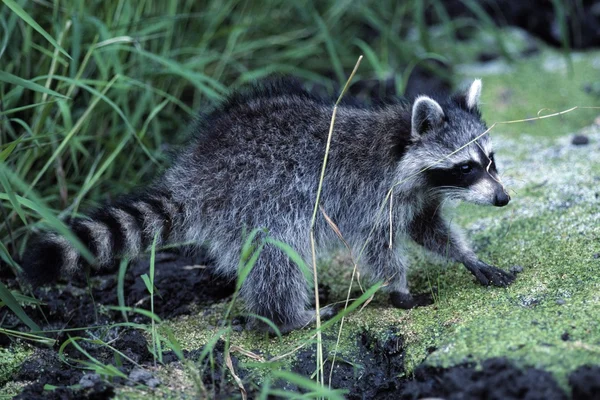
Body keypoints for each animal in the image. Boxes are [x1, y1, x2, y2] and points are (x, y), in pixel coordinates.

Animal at [21, 77, 512, 332]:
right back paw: (289, 315)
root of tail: (194, 174)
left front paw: (468, 257)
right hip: (259, 198)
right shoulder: (370, 196)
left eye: (490, 161)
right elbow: (378, 248)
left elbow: (429, 229)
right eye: (465, 167)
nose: (503, 198)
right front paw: (399, 287)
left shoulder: (418, 195)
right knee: (277, 254)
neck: (399, 147)